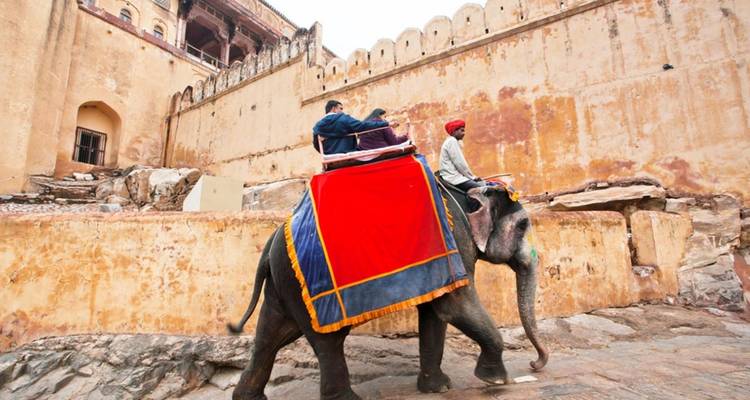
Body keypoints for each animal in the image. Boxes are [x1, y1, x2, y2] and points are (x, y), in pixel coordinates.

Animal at [227, 184, 549, 400]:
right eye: (523, 225)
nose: (535, 364)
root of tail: (271, 242)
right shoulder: (455, 241)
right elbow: (454, 306)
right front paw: (497, 381)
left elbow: (435, 312)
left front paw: (438, 388)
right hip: (304, 286)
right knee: (326, 342)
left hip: (283, 286)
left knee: (272, 335)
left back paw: (249, 398)